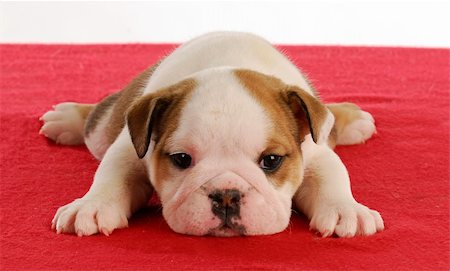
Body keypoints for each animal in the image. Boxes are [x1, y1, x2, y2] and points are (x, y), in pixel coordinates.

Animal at [40, 31, 384, 238]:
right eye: (181, 159)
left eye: (271, 160)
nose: (227, 195)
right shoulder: (130, 147)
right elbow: (112, 173)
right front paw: (91, 204)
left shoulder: (314, 151)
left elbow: (332, 175)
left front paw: (346, 210)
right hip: (107, 125)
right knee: (98, 120)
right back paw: (67, 118)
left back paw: (351, 118)